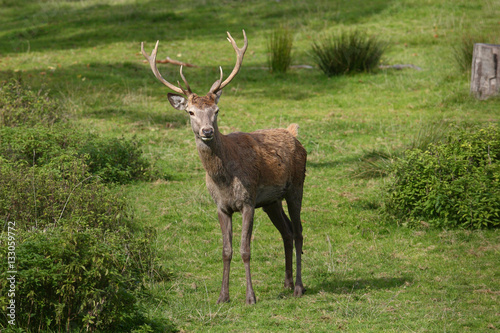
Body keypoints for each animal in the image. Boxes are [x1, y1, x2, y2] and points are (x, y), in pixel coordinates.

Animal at [140, 31, 304, 304]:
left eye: (216, 110)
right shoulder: (221, 206)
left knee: (299, 230)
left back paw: (299, 287)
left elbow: (245, 249)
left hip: (296, 187)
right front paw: (222, 297)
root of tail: (293, 134)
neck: (223, 180)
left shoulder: (247, 201)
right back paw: (287, 283)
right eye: (190, 112)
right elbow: (226, 250)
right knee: (288, 231)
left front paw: (250, 298)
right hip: (271, 201)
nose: (207, 131)